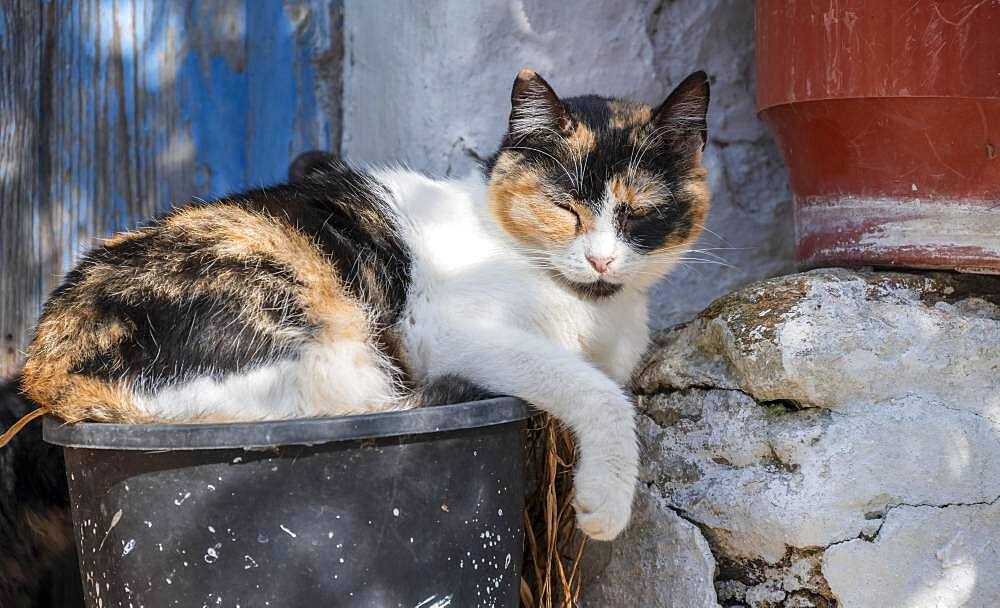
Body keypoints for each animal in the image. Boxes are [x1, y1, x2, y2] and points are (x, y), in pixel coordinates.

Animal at [21, 69, 712, 540]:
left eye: (638, 215)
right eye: (563, 209)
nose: (600, 260)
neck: (591, 308)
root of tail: (46, 370)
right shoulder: (448, 331)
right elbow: (597, 390)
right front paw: (606, 501)